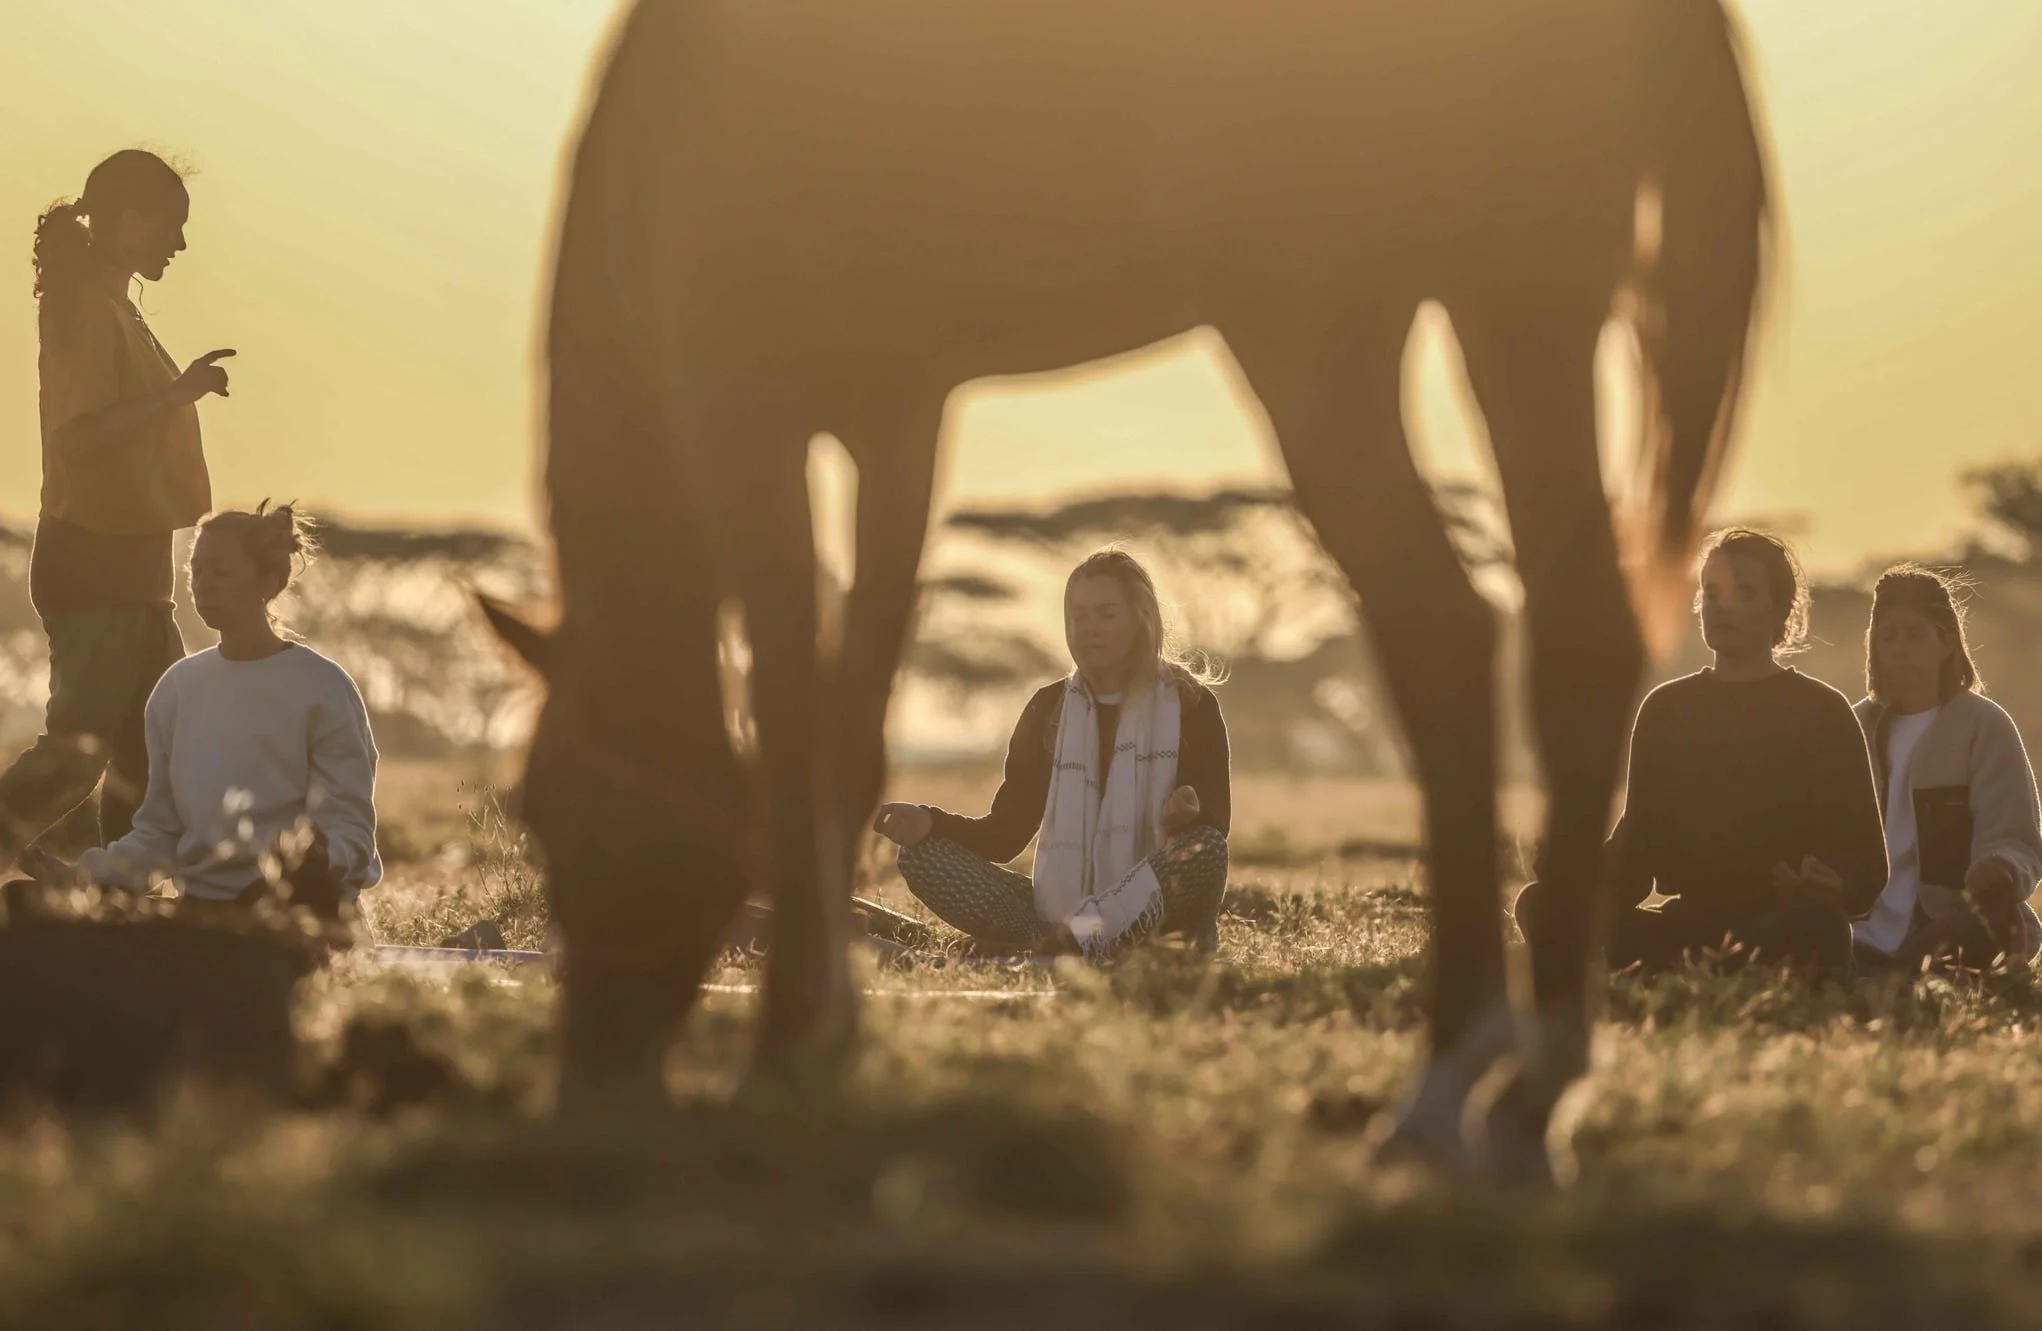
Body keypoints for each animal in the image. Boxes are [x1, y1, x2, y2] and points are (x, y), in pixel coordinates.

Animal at [497, 0, 1770, 1172]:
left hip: (1325, 333)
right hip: (1526, 304)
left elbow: (795, 717)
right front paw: (824, 1035)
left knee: (1444, 632)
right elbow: (848, 719)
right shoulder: (896, 413)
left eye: (554, 806)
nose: (593, 1077)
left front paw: (781, 1049)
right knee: (1574, 631)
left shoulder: (740, 402)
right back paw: (1527, 1093)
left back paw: (1448, 1081)